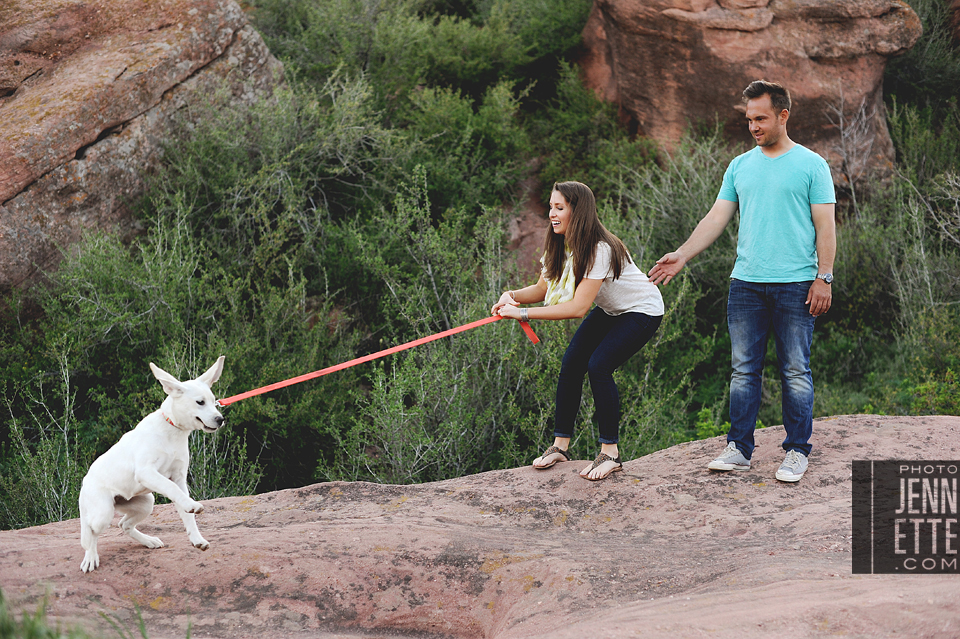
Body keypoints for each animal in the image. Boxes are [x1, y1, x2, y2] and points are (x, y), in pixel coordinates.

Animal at [79, 358, 226, 572]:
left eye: (214, 401)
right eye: (200, 402)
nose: (220, 419)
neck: (173, 430)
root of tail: (84, 482)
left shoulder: (180, 478)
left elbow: (186, 513)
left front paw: (197, 539)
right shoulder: (147, 472)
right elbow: (170, 488)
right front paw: (192, 505)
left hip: (146, 504)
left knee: (123, 525)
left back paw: (149, 541)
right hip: (103, 513)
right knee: (91, 531)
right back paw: (91, 557)